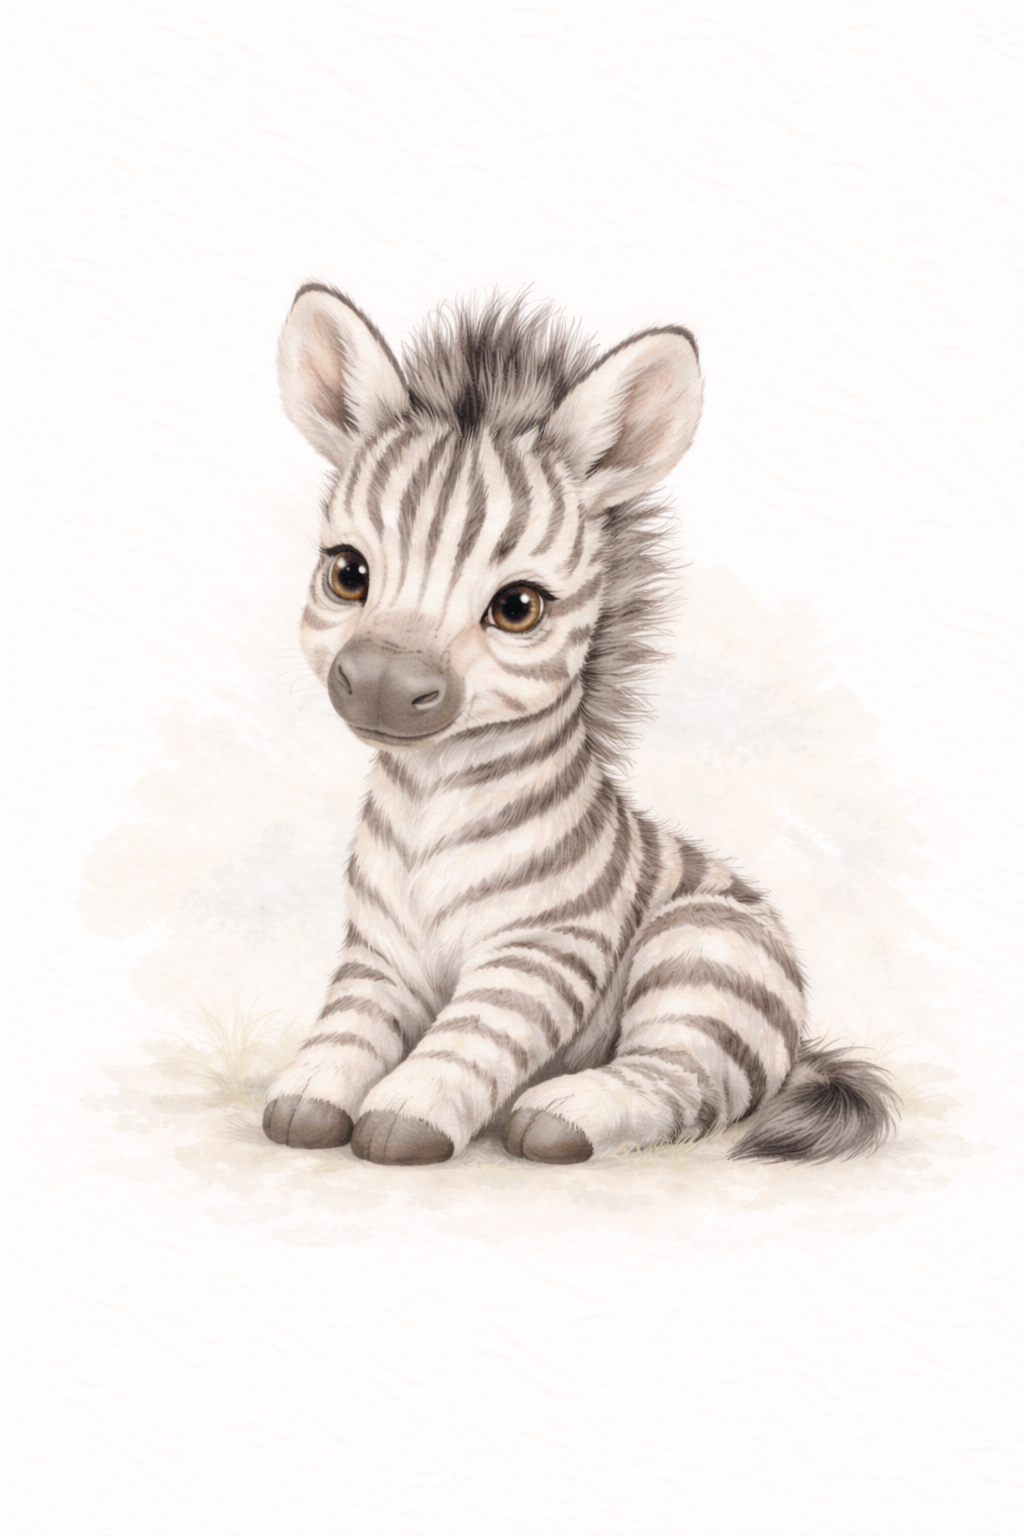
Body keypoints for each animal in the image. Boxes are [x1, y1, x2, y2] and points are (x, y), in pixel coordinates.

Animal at [262, 283, 899, 1166]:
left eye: (517, 607)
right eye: (348, 574)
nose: (385, 685)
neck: (431, 804)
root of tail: (798, 1045)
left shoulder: (545, 949)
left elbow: (471, 1037)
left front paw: (408, 1115)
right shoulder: (379, 952)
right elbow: (348, 1029)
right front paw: (307, 1098)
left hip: (704, 954)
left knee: (682, 1084)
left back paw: (562, 1113)